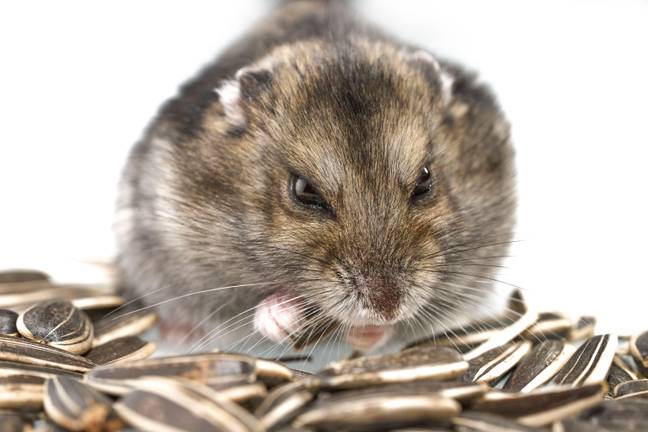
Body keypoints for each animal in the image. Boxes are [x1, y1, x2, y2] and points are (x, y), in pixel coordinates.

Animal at [115, 0, 516, 353]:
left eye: (425, 181)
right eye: (305, 191)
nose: (386, 308)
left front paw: (367, 333)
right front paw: (283, 315)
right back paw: (177, 333)